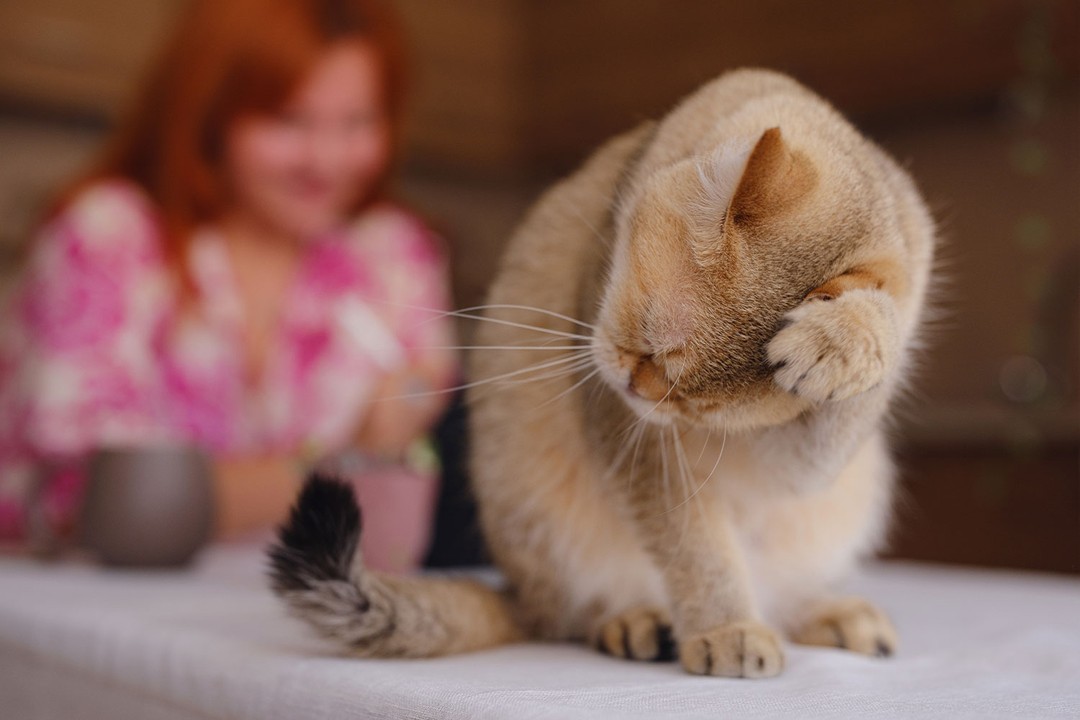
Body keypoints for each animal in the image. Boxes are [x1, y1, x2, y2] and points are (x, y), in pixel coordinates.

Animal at [265, 66, 933, 677]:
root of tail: (519, 594)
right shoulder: (633, 438)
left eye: (704, 408)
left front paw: (847, 338)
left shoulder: (791, 463)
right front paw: (727, 631)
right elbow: (697, 549)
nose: (640, 390)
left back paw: (836, 614)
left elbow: (869, 353)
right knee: (570, 615)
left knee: (782, 594)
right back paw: (639, 623)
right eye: (648, 342)